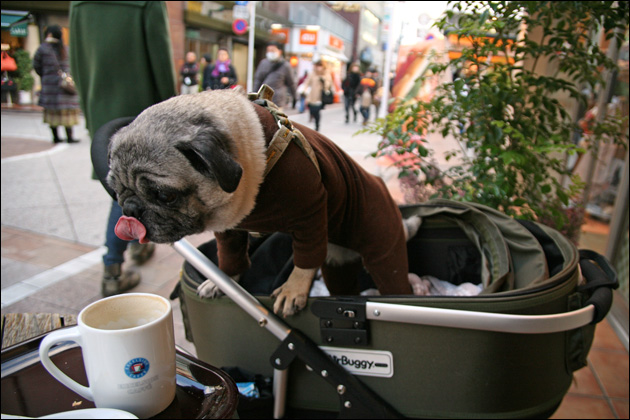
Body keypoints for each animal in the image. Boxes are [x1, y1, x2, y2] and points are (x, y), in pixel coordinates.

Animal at [110, 89, 420, 318]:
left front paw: (293, 289)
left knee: (395, 279)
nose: (130, 210)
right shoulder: (229, 227)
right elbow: (231, 256)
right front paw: (223, 279)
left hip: (384, 252)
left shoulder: (311, 212)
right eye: (116, 189)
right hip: (337, 266)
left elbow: (305, 259)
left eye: (165, 196)